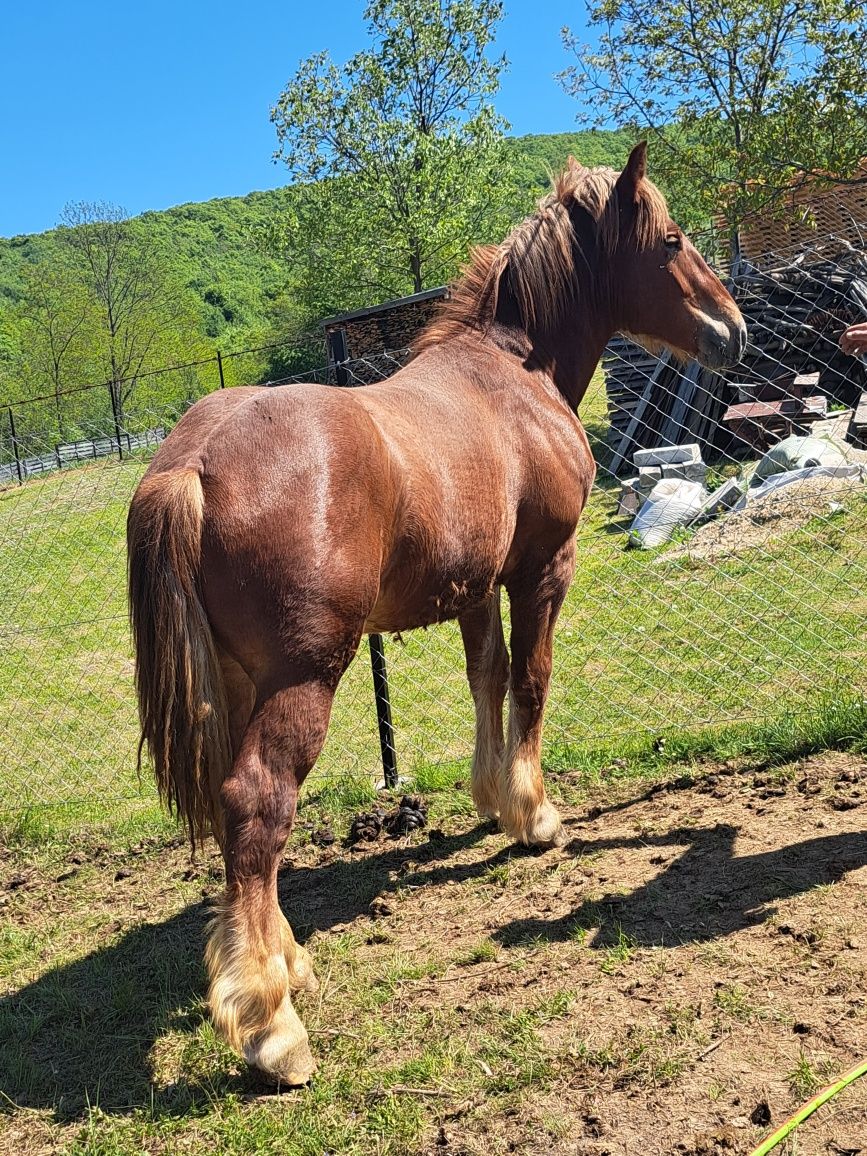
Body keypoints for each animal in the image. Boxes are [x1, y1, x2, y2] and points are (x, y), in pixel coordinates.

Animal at [127, 144, 749, 1082]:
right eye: (671, 238)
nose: (732, 329)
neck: (514, 374)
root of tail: (190, 463)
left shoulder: (477, 586)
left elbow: (484, 677)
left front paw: (490, 799)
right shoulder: (542, 570)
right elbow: (531, 680)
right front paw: (533, 815)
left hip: (238, 682)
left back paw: (290, 962)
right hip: (303, 679)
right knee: (257, 806)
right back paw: (272, 1024)